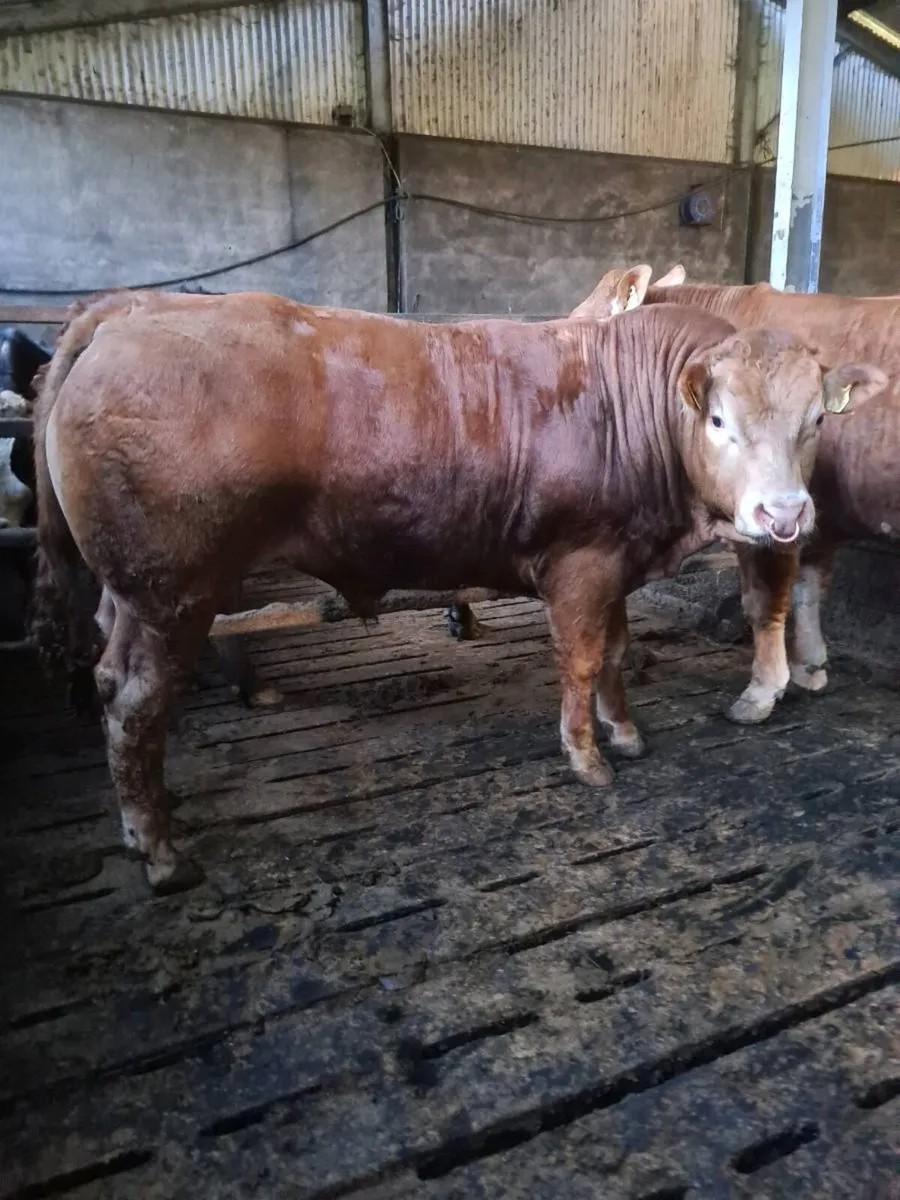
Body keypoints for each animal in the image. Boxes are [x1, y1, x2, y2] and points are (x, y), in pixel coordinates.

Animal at [31, 288, 876, 892]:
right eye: (719, 418)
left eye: (813, 421)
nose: (783, 514)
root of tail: (126, 310)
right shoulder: (580, 563)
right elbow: (580, 658)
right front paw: (586, 756)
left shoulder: (616, 564)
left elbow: (613, 654)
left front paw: (625, 732)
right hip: (169, 593)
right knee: (134, 699)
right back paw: (160, 850)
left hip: (129, 595)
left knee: (112, 682)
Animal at [573, 264, 895, 722]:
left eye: (579, 325)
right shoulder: (818, 515)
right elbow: (810, 585)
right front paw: (809, 666)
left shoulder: (777, 516)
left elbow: (766, 600)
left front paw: (763, 689)